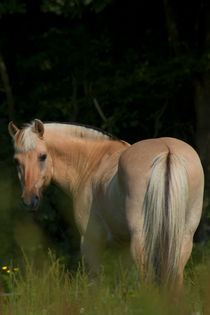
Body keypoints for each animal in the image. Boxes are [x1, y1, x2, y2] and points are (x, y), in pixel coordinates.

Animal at [7, 119, 203, 292]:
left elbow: (94, 286)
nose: (29, 200)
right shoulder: (123, 248)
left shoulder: (90, 242)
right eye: (16, 161)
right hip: (182, 239)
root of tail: (167, 152)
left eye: (42, 156)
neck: (92, 163)